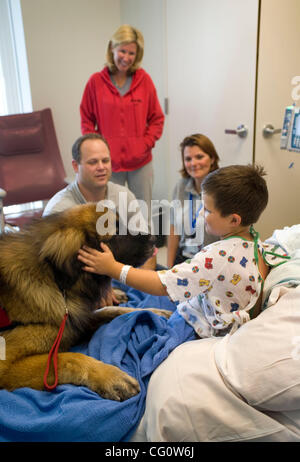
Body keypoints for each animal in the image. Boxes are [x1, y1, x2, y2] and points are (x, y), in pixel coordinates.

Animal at [0, 204, 169, 398]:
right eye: (115, 235)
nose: (154, 238)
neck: (55, 279)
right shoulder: (5, 366)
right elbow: (68, 358)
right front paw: (112, 377)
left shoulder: (75, 320)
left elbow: (112, 311)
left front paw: (155, 311)